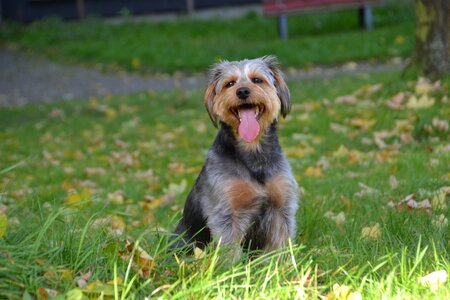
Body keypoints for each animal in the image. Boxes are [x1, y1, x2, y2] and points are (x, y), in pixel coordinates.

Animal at [172, 55, 298, 255]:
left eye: (257, 80)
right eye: (229, 83)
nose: (243, 91)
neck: (253, 151)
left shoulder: (281, 207)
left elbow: (281, 246)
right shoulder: (226, 213)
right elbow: (229, 250)